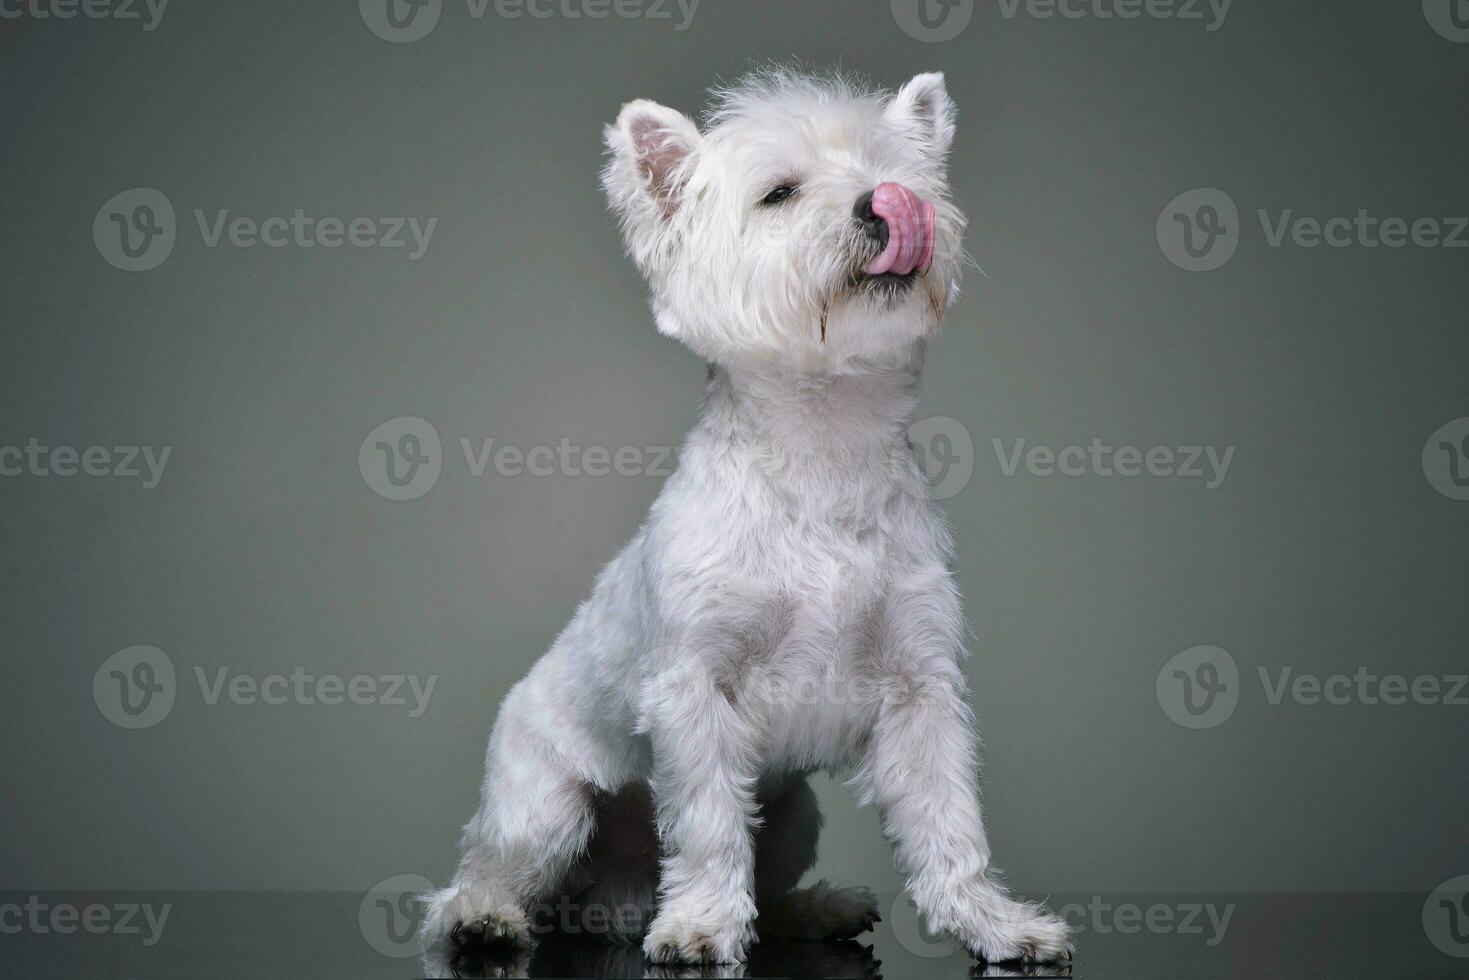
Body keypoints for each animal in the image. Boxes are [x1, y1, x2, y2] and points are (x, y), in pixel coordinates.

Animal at [423, 67, 1069, 963]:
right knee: (480, 875)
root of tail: (614, 894)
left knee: (770, 873)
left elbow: (949, 823)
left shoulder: (919, 686)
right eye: (779, 193)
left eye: (893, 170)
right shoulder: (696, 687)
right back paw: (487, 918)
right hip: (544, 808)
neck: (822, 447)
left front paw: (995, 925)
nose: (887, 203)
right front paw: (699, 925)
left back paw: (817, 908)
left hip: (794, 814)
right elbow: (706, 825)